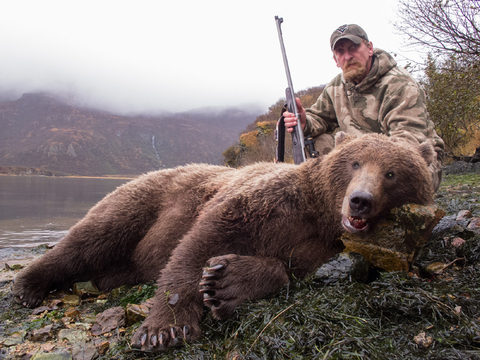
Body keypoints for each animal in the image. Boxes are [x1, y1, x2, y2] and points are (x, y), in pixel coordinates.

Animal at [13, 132, 436, 352]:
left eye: (392, 173)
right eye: (354, 162)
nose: (360, 200)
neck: (318, 213)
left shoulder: (319, 245)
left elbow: (288, 268)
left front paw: (226, 282)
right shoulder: (267, 201)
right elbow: (202, 238)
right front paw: (165, 328)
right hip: (146, 198)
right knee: (93, 235)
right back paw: (27, 284)